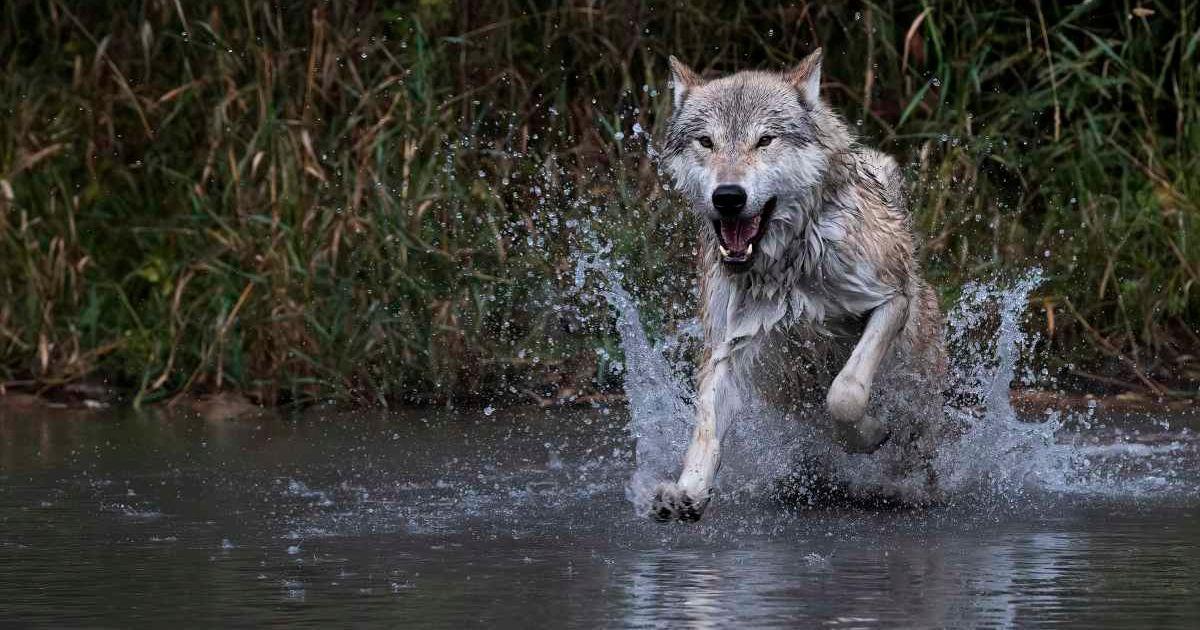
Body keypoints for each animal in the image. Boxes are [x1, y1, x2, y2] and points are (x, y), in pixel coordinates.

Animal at [651, 49, 949, 522]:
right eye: (707, 142)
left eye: (765, 140)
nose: (728, 196)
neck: (785, 269)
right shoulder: (726, 349)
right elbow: (705, 430)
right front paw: (687, 492)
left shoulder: (890, 300)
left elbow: (844, 394)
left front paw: (870, 433)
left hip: (919, 391)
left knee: (917, 448)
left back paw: (909, 487)